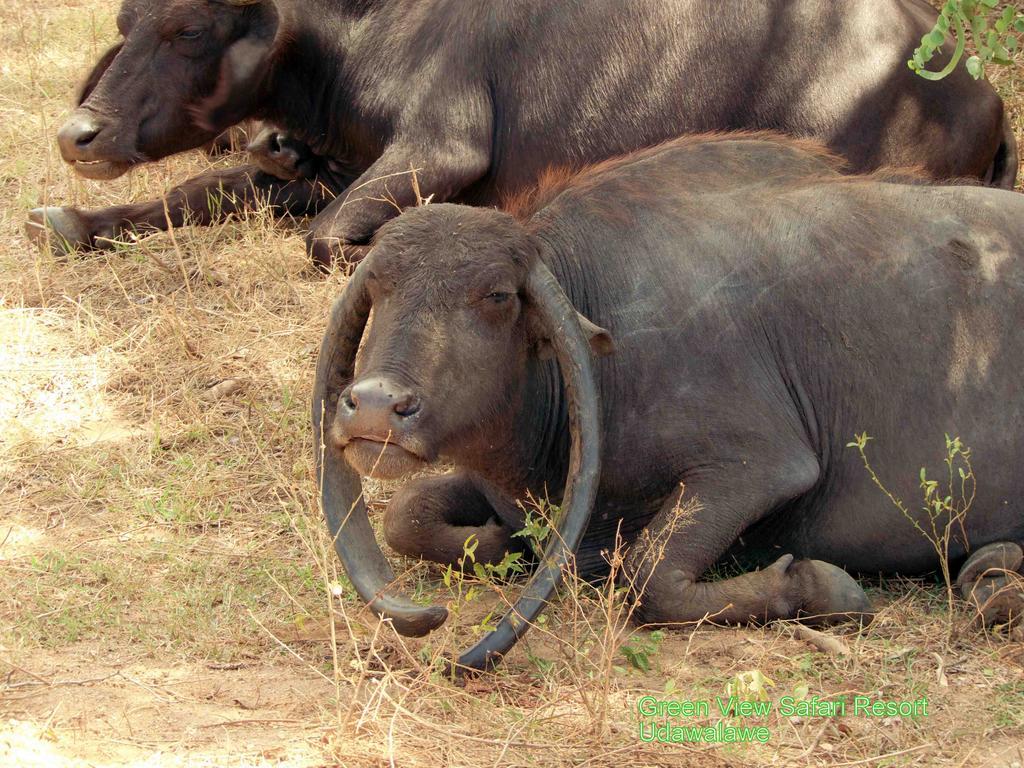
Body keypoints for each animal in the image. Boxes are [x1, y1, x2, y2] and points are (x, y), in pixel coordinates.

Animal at [25, 0, 1015, 268]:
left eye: (188, 27)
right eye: (125, 19)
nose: (81, 134)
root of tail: (982, 92)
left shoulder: (440, 150)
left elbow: (326, 239)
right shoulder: (318, 166)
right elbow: (201, 188)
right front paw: (71, 221)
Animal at [311, 134, 1024, 671]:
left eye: (497, 296)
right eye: (379, 285)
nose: (373, 407)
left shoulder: (755, 468)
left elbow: (646, 577)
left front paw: (820, 586)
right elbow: (406, 512)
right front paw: (494, 540)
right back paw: (993, 578)